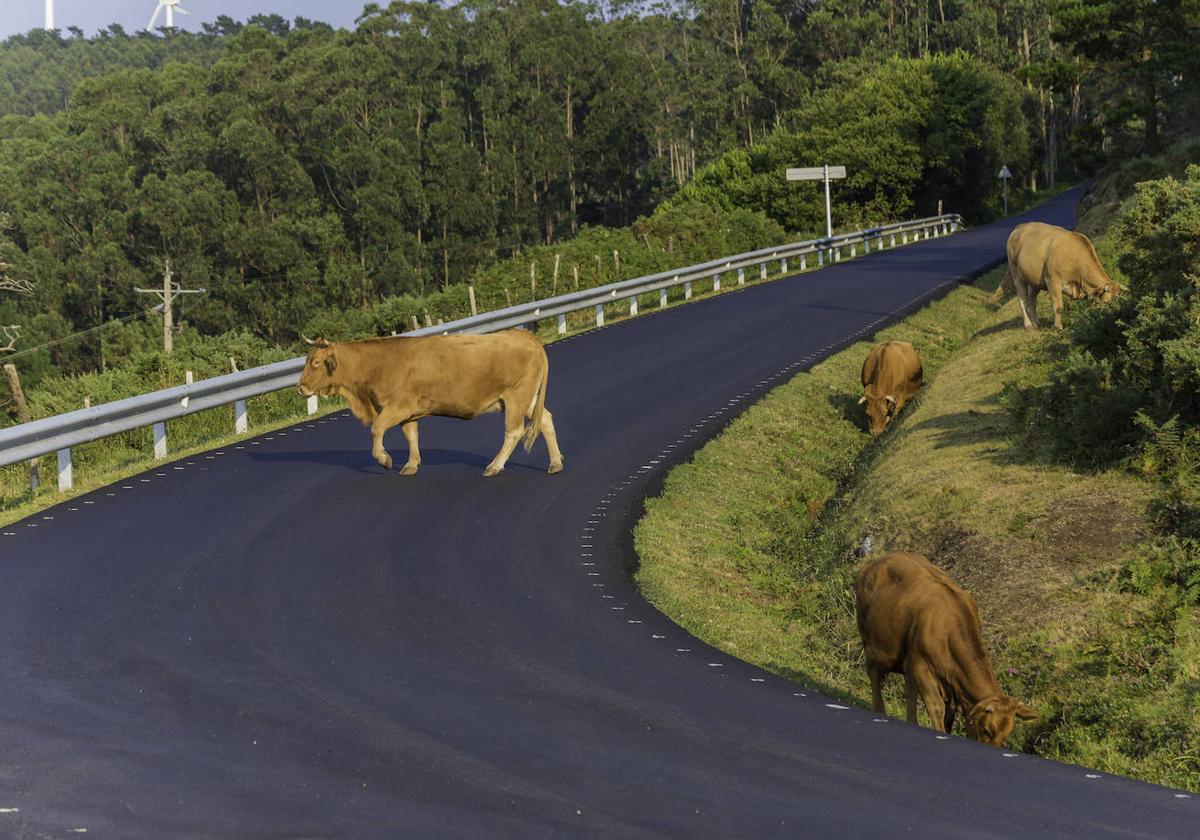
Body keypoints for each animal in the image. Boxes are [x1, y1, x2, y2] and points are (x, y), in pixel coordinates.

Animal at [297, 331, 564, 482]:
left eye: (316, 362)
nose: (300, 388)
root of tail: (523, 335)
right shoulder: (409, 413)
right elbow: (411, 436)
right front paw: (411, 464)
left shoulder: (398, 407)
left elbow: (377, 428)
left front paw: (384, 459)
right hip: (527, 399)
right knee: (546, 419)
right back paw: (555, 463)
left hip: (516, 397)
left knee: (514, 432)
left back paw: (494, 466)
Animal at [854, 554, 1041, 744]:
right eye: (986, 730)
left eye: (1006, 735)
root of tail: (874, 562)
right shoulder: (921, 665)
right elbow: (935, 706)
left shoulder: (947, 680)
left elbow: (948, 714)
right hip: (869, 639)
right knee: (874, 674)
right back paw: (879, 710)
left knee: (909, 693)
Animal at [988, 222, 1118, 328]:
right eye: (1107, 302)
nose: (1110, 318)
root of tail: (1019, 227)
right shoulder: (1052, 281)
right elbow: (1058, 306)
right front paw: (1058, 327)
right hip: (1017, 275)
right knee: (1022, 298)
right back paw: (1029, 325)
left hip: (1034, 279)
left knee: (1031, 298)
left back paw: (1036, 322)